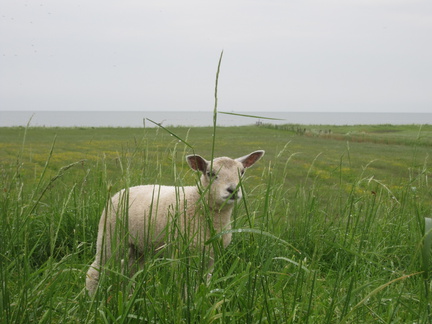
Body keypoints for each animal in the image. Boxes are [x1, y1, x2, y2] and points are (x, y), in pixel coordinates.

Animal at [85, 150, 264, 296]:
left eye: (242, 172)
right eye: (210, 173)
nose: (233, 190)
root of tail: (122, 191)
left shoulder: (211, 255)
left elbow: (205, 282)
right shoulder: (181, 253)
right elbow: (184, 284)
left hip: (140, 246)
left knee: (130, 270)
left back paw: (128, 296)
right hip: (110, 236)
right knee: (96, 270)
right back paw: (91, 297)